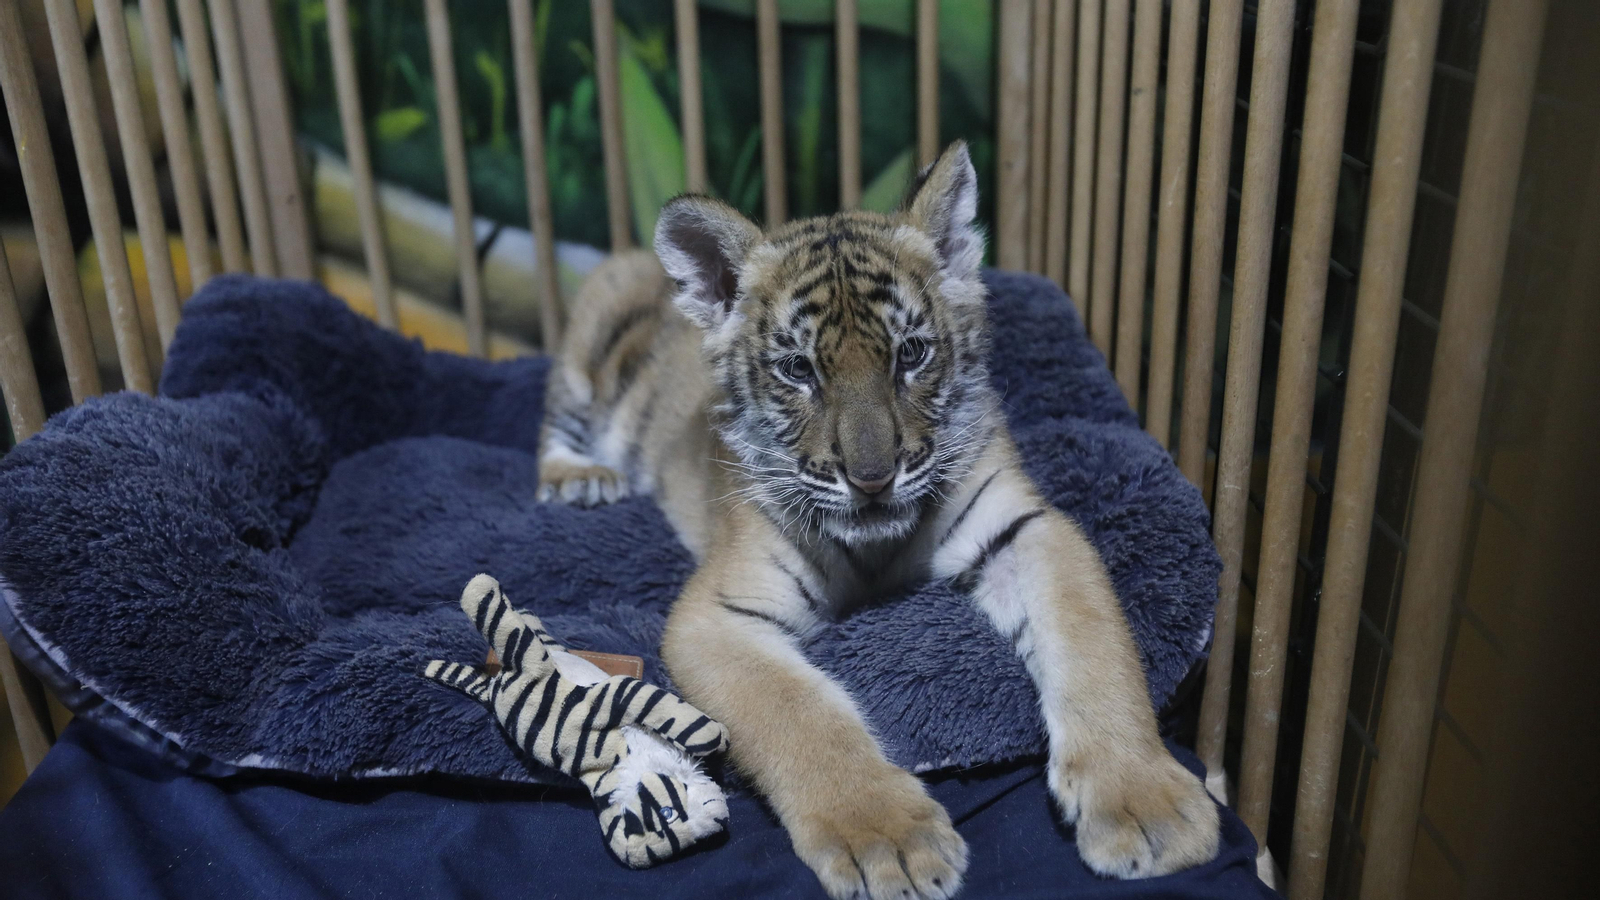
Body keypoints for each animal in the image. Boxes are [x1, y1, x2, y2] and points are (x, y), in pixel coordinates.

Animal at [537, 141, 1220, 898]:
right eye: (798, 369)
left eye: (911, 354)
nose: (871, 479)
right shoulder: (716, 615)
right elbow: (800, 715)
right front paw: (887, 839)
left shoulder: (1025, 529)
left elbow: (1093, 642)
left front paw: (1145, 804)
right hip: (589, 345)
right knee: (552, 421)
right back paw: (580, 481)